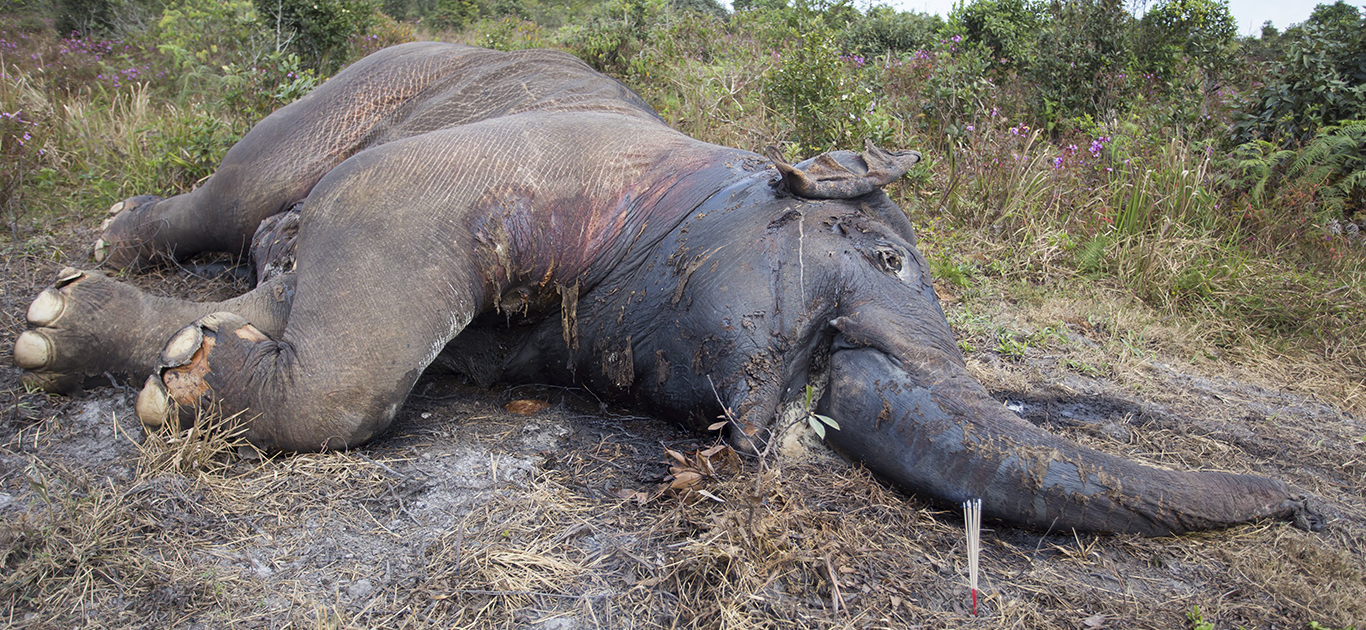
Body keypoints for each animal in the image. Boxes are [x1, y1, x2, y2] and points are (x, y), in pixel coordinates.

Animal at [12, 42, 1320, 536]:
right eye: (887, 260)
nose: (1305, 508)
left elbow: (284, 309)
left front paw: (172, 366)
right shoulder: (465, 176)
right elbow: (355, 351)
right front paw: (175, 382)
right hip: (370, 84)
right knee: (233, 192)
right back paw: (116, 238)